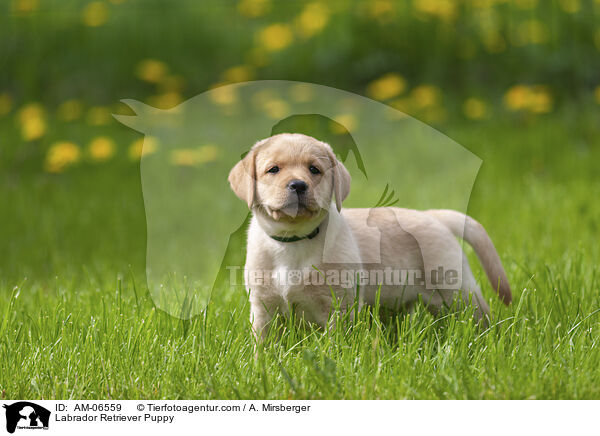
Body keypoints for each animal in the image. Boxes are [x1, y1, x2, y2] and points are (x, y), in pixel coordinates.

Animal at [230, 133, 510, 340]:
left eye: (314, 170)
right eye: (273, 170)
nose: (298, 185)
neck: (295, 239)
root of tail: (436, 217)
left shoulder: (338, 306)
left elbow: (337, 343)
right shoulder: (263, 309)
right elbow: (263, 347)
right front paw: (261, 368)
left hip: (455, 290)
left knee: (480, 317)